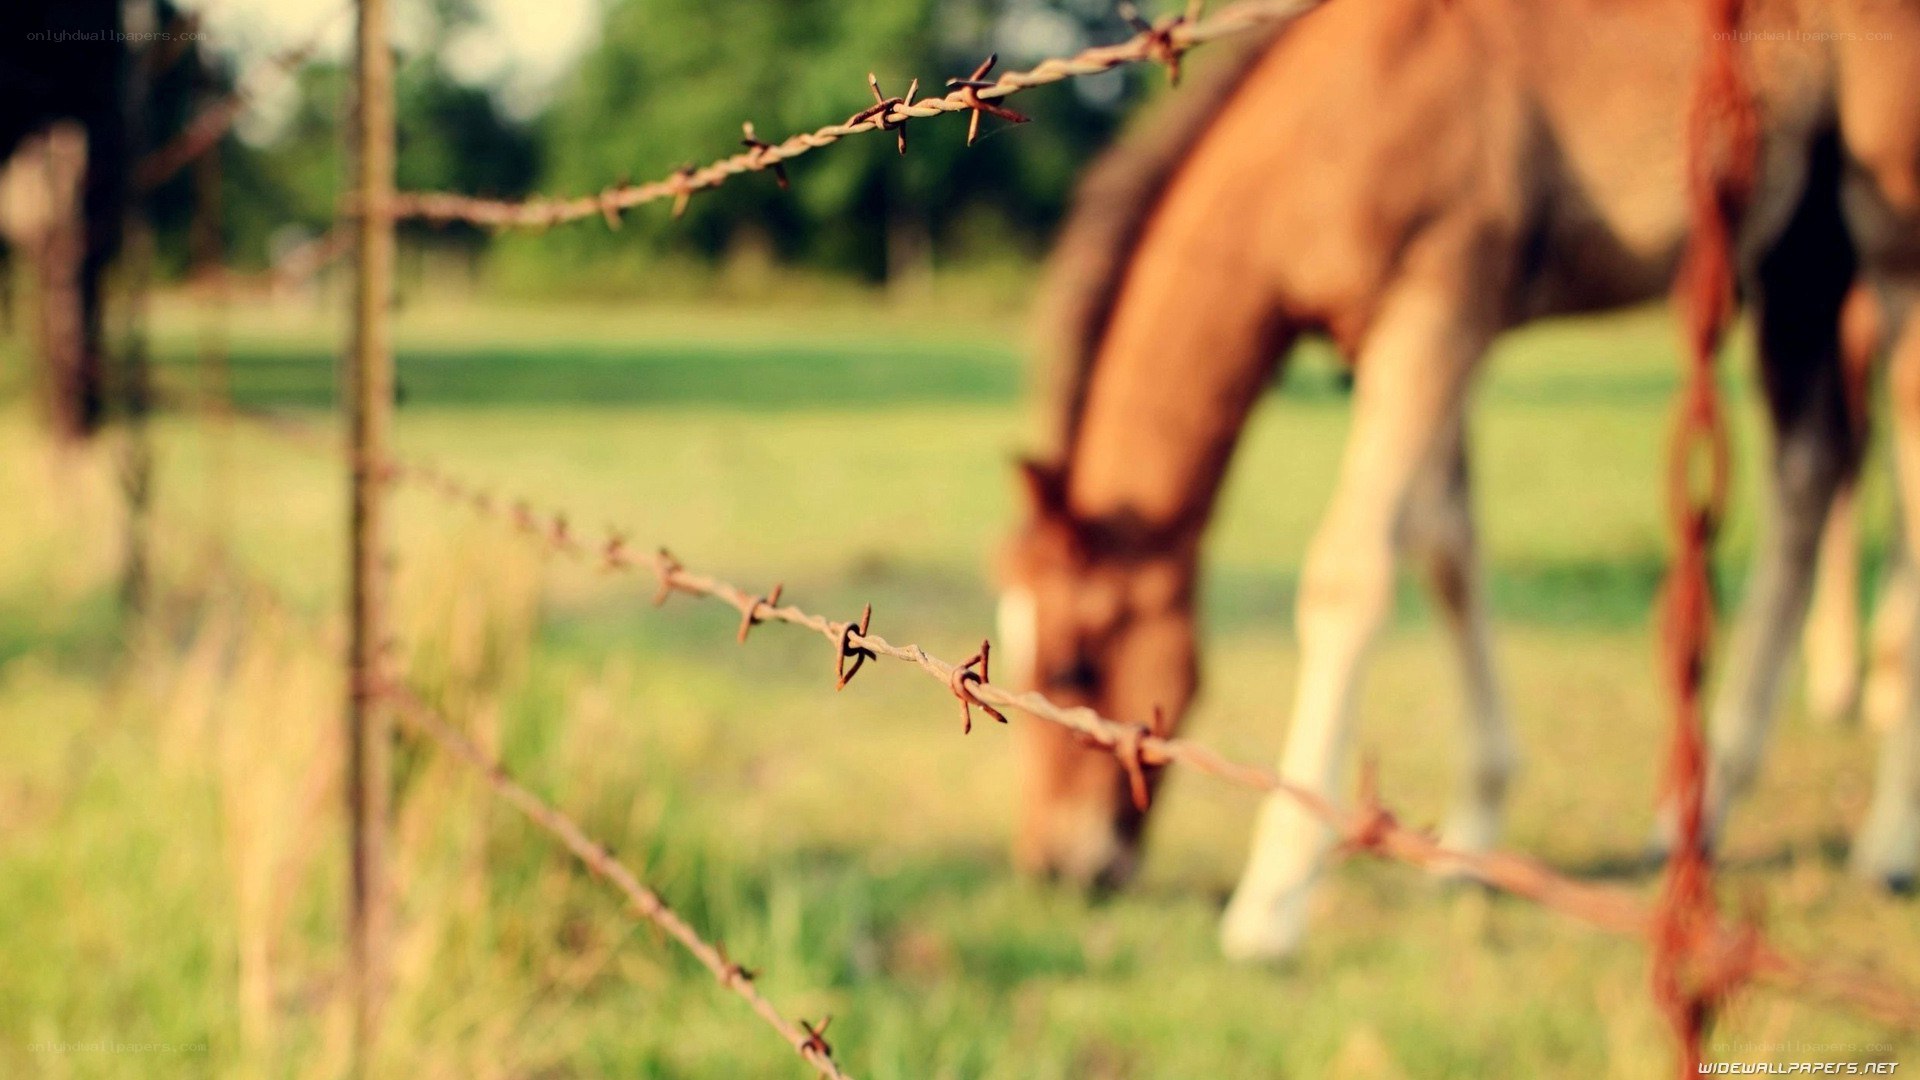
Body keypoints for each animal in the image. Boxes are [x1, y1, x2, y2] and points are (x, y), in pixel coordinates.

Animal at [995, 0, 1920, 961]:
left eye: (1075, 663)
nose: (1053, 864)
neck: (1338, 119)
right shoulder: (1395, 343)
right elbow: (1444, 547)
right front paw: (1470, 840)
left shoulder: (1437, 308)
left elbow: (1351, 575)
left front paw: (1271, 901)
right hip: (1798, 251)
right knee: (1809, 471)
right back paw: (1694, 818)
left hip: (1888, 230)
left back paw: (1888, 843)